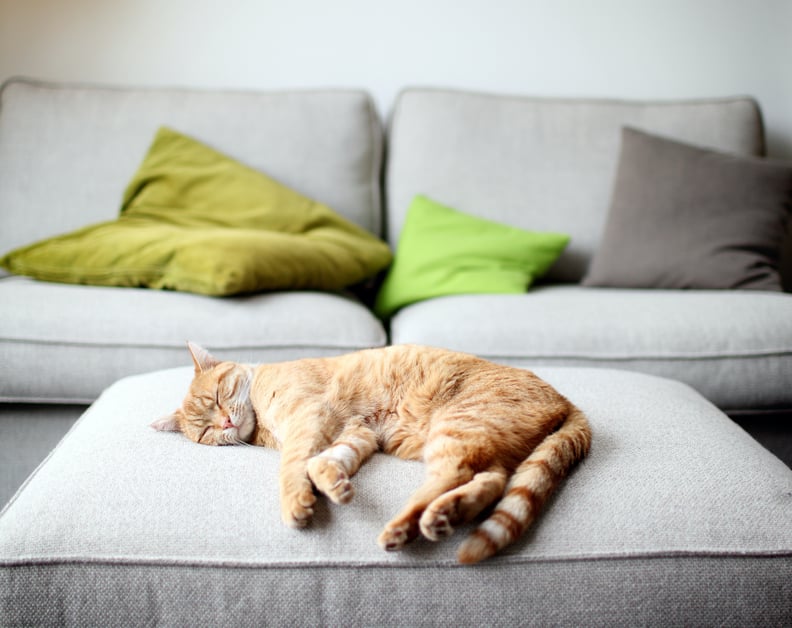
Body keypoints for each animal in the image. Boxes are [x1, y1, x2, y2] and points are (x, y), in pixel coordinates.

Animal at [153, 344, 588, 564]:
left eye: (218, 396)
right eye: (205, 430)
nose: (225, 423)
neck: (263, 425)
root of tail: (565, 399)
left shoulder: (308, 418)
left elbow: (294, 466)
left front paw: (298, 501)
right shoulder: (357, 433)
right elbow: (323, 461)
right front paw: (335, 485)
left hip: (456, 427)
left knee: (453, 475)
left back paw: (406, 524)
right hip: (477, 441)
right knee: (492, 479)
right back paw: (446, 514)